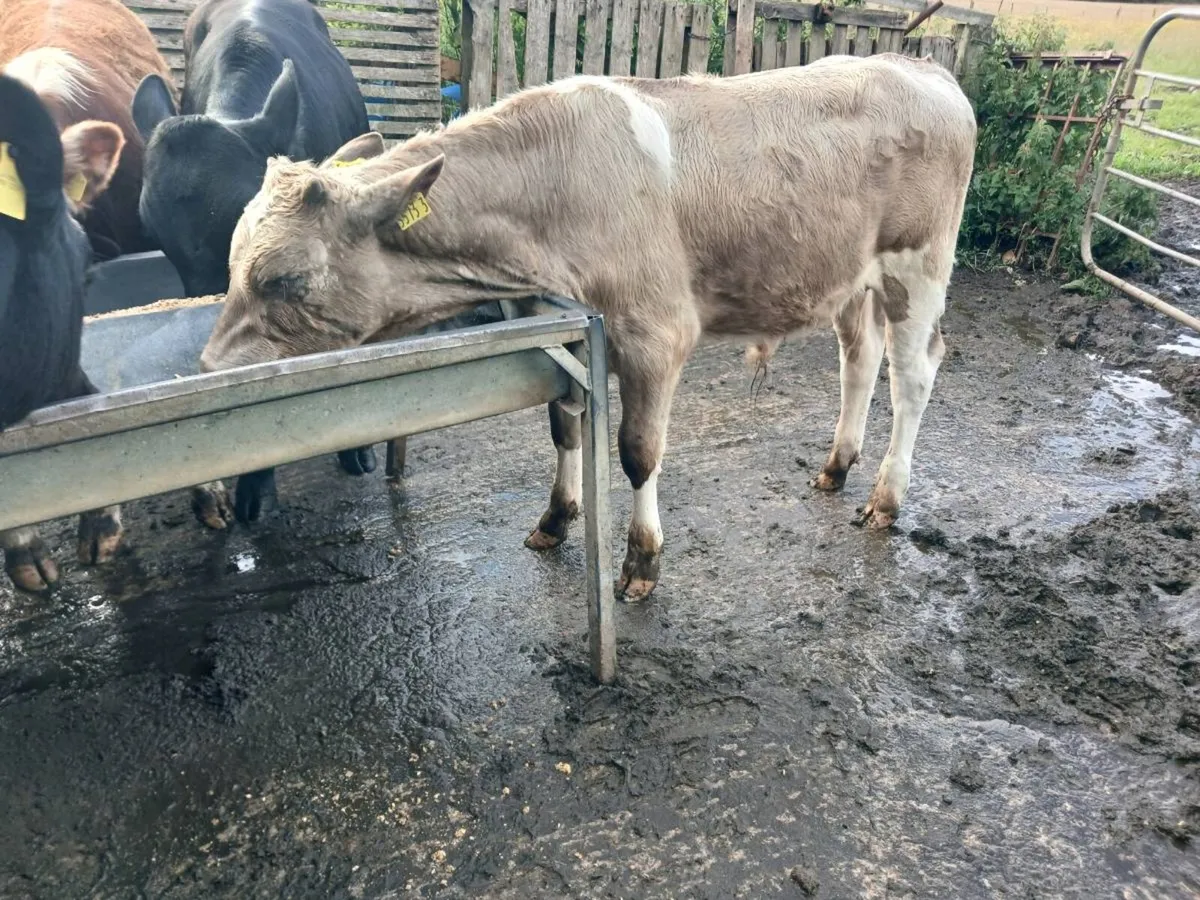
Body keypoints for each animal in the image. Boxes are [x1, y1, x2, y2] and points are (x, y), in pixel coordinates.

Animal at [198, 56, 978, 603]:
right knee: (859, 359)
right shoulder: (554, 326)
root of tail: (922, 67)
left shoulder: (655, 333)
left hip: (919, 267)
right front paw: (556, 518)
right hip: (852, 277)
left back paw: (885, 498)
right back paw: (837, 465)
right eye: (233, 261)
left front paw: (640, 561)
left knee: (913, 374)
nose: (207, 368)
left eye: (285, 280)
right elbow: (563, 427)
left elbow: (637, 453)